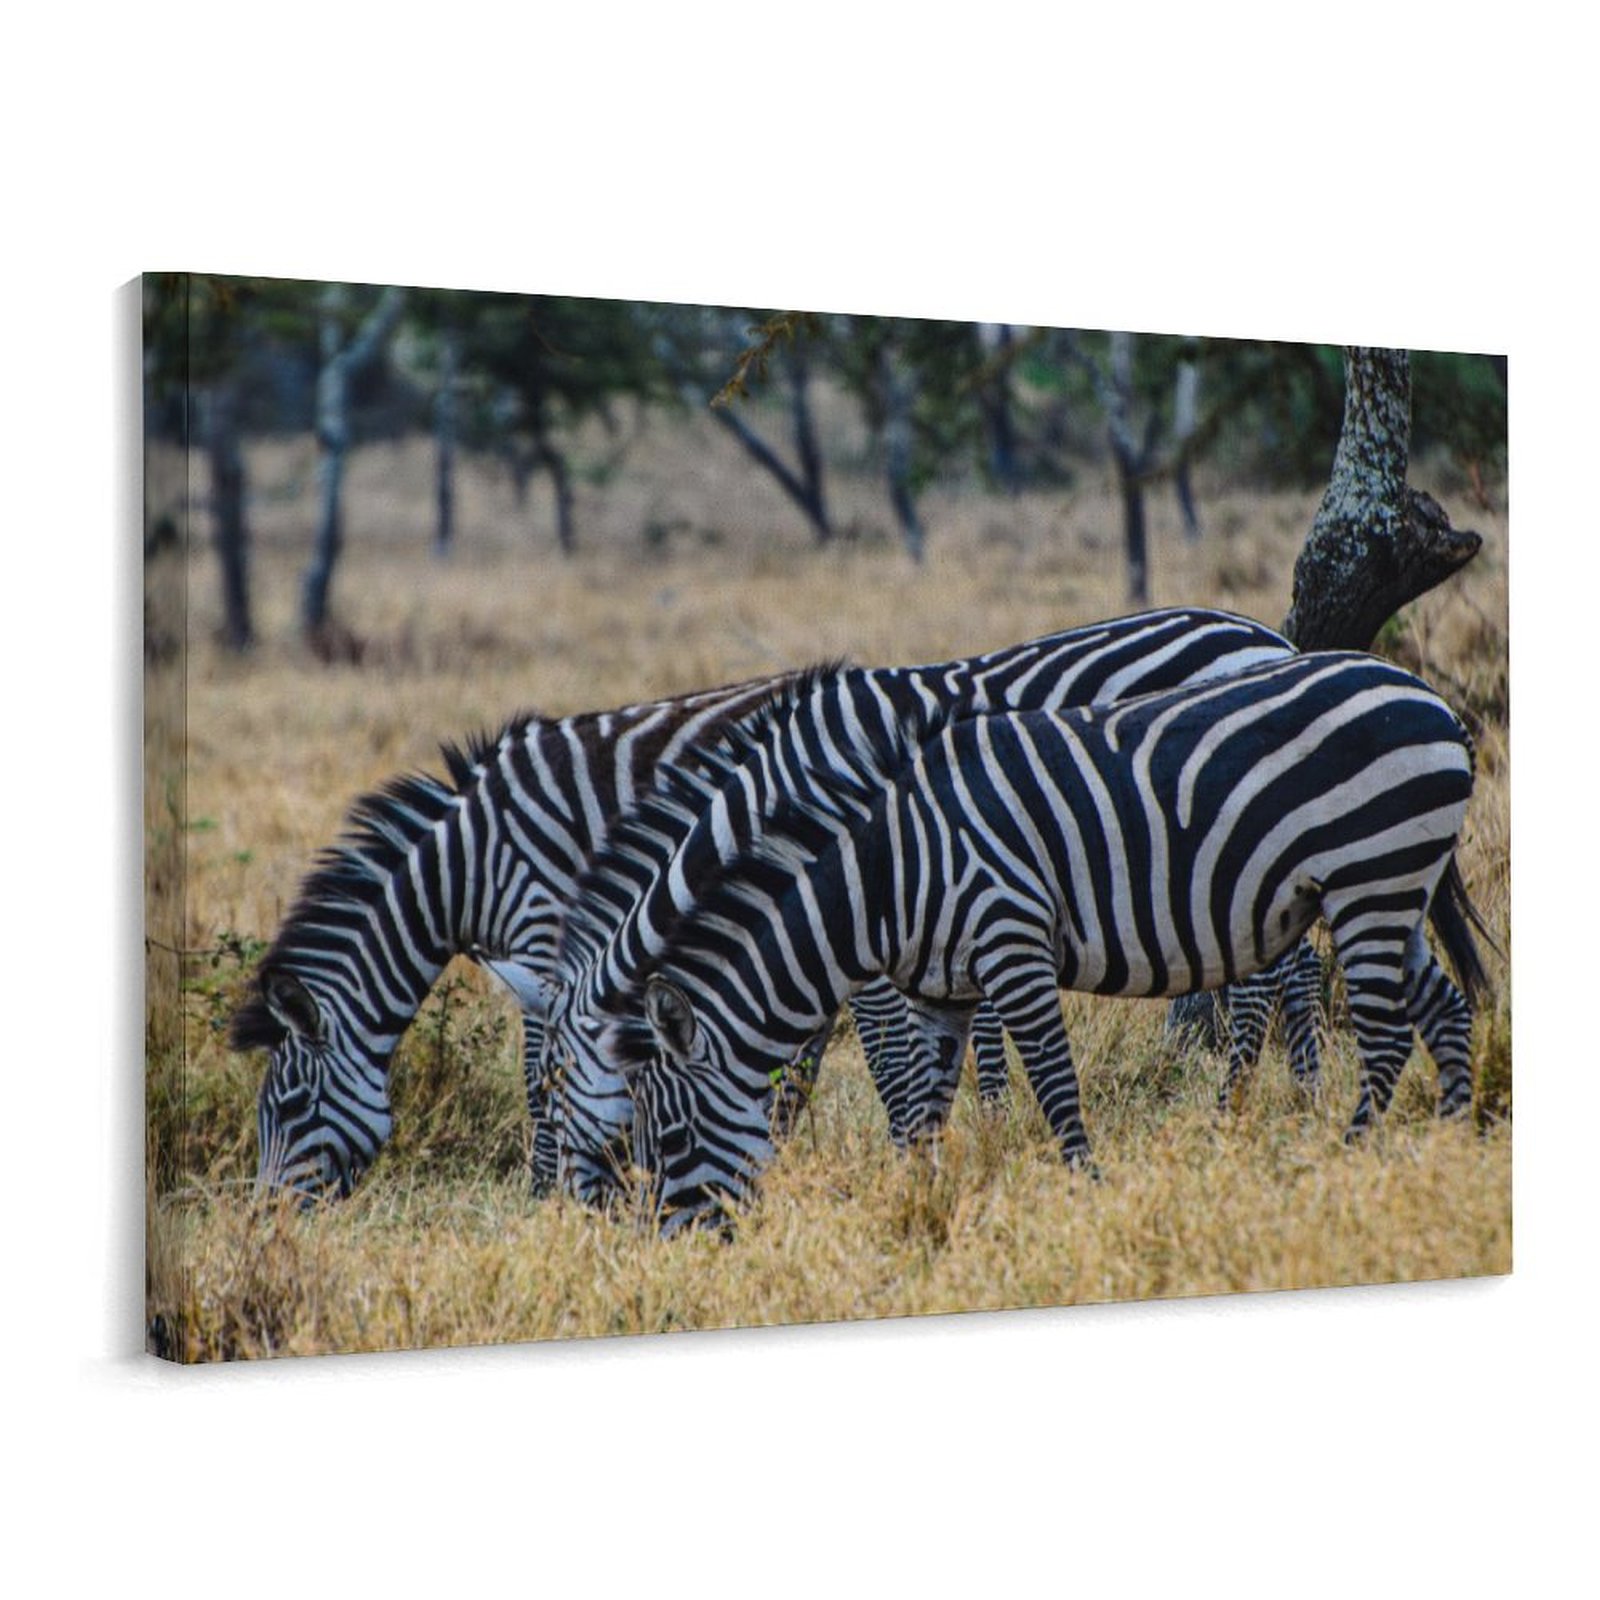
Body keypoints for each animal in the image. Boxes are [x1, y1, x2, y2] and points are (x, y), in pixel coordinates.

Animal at [233, 607, 1306, 1203]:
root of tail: (1261, 630)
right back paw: (1299, 1094)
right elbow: (785, 1061)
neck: (478, 852)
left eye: (285, 1107)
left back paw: (1243, 1107)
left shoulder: (554, 931)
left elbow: (544, 1077)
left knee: (1270, 971)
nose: (268, 1221)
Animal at [547, 652, 1486, 1234]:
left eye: (667, 1142)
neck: (888, 873)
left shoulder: (1013, 945)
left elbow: (1055, 1090)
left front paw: (1086, 1195)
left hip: (1369, 874)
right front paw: (919, 1208)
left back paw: (1354, 1161)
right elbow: (923, 1108)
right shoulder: (942, 991)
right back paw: (1448, 1150)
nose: (672, 1251)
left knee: (1386, 1031)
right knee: (1441, 1007)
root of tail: (1422, 690)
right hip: (1387, 886)